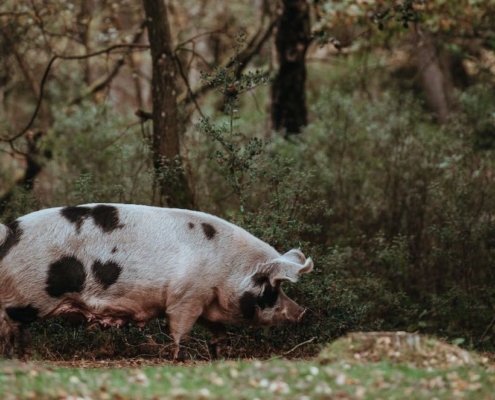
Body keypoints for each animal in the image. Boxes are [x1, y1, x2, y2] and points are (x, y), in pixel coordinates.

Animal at [0, 203, 314, 360]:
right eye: (272, 287)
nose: (302, 312)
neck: (227, 269)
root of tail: (10, 230)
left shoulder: (204, 300)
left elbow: (218, 329)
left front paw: (219, 352)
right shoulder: (186, 297)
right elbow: (178, 329)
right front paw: (179, 358)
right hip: (28, 297)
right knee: (10, 322)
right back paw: (15, 356)